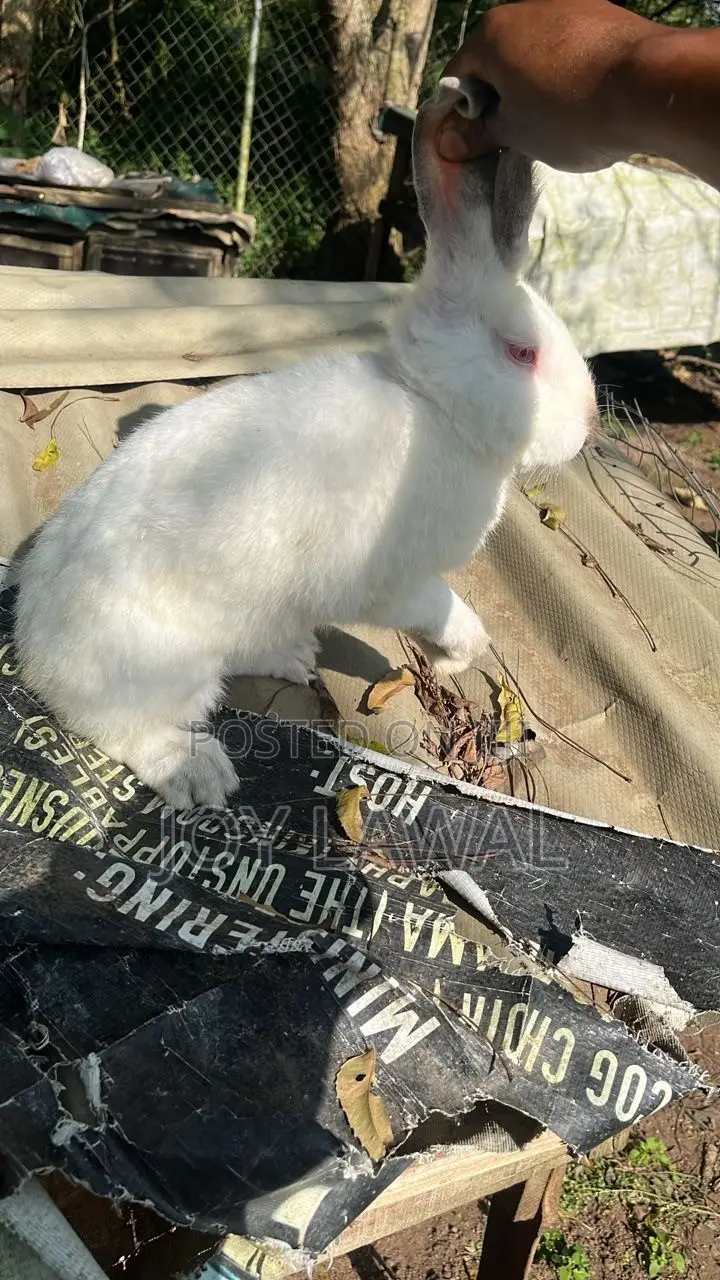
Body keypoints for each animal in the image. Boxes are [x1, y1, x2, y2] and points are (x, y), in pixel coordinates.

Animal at [13, 77, 596, 811]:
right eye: (522, 353)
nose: (590, 424)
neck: (432, 407)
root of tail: (34, 647)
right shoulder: (394, 584)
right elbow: (441, 610)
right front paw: (460, 653)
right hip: (163, 669)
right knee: (119, 727)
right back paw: (199, 771)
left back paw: (292, 659)